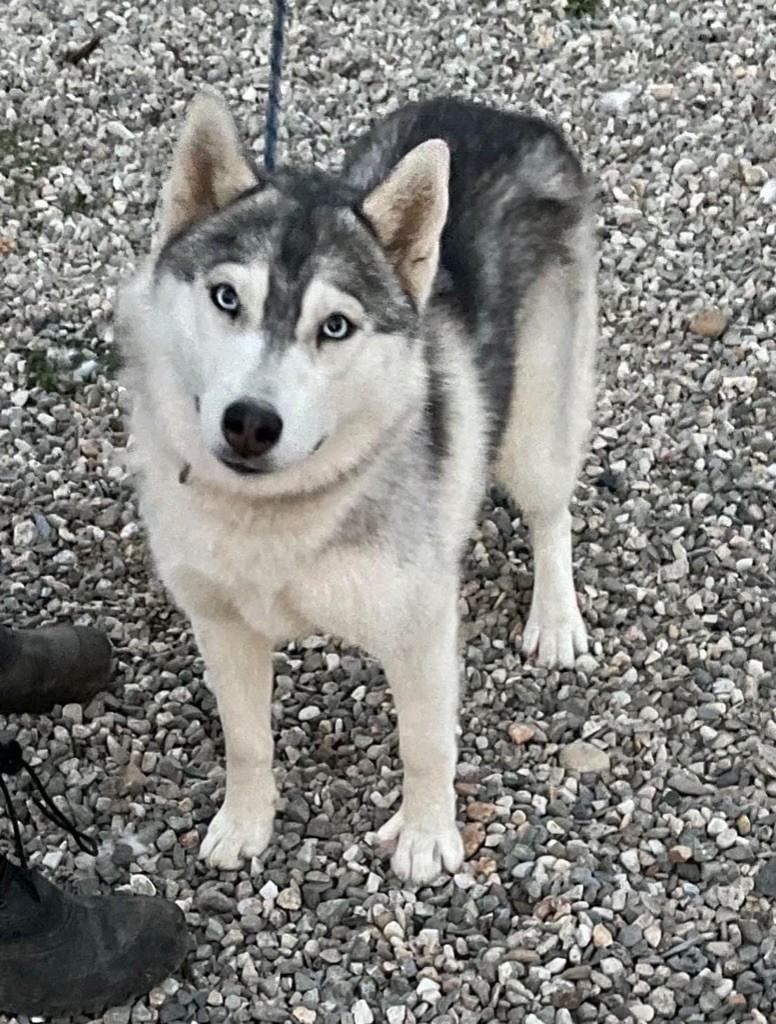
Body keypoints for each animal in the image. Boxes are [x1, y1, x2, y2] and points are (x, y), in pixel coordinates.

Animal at [120, 92, 593, 884]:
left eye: (335, 326)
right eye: (226, 298)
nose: (251, 422)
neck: (275, 514)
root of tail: (501, 114)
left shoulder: (420, 624)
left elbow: (426, 745)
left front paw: (428, 834)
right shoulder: (221, 622)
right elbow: (246, 738)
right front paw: (245, 822)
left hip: (533, 422)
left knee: (549, 509)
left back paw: (555, 617)